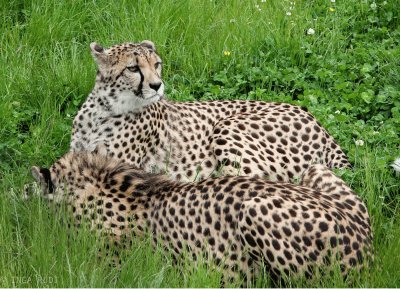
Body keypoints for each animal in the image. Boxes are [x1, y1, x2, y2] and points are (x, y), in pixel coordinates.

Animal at [70, 40, 352, 182]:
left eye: (156, 64)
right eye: (133, 68)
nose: (157, 85)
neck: (104, 111)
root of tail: (312, 118)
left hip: (228, 126)